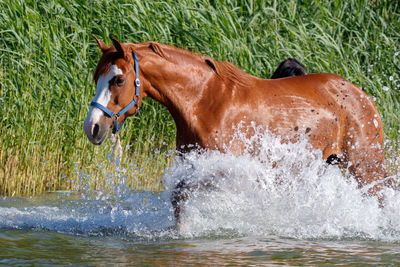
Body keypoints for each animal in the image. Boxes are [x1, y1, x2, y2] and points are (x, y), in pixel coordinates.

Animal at [84, 36, 394, 227]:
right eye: (96, 77)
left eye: (118, 79)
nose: (93, 127)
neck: (204, 102)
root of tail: (360, 95)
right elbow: (178, 200)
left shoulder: (226, 170)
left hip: (366, 166)